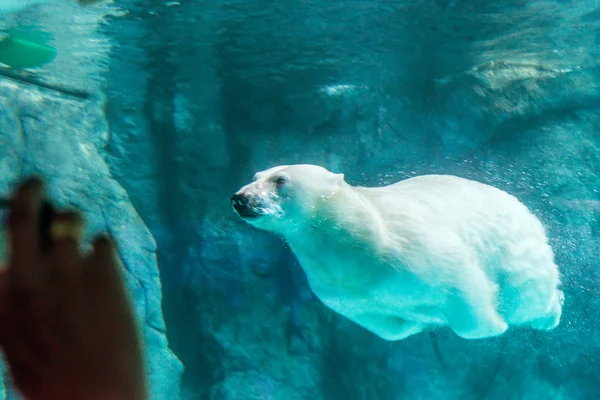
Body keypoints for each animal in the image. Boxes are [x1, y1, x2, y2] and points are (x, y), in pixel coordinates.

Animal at [230, 164, 564, 340]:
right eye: (256, 176)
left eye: (280, 179)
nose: (240, 198)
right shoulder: (340, 290)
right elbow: (386, 325)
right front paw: (420, 319)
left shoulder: (413, 245)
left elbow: (462, 283)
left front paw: (494, 325)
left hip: (515, 246)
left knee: (527, 294)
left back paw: (549, 313)